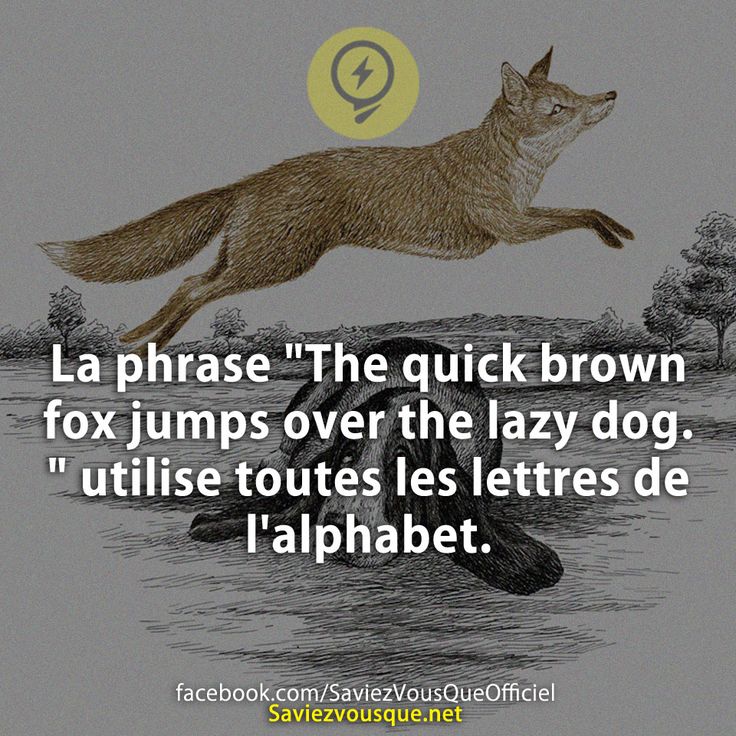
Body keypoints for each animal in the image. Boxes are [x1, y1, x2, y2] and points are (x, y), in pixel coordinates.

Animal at [40, 47, 633, 354]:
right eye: (558, 109)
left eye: (574, 93)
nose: (610, 95)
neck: (516, 170)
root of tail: (250, 181)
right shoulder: (509, 227)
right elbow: (581, 213)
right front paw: (614, 235)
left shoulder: (518, 220)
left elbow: (589, 210)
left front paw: (621, 230)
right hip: (272, 265)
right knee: (194, 288)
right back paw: (150, 345)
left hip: (246, 259)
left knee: (187, 284)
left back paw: (139, 339)